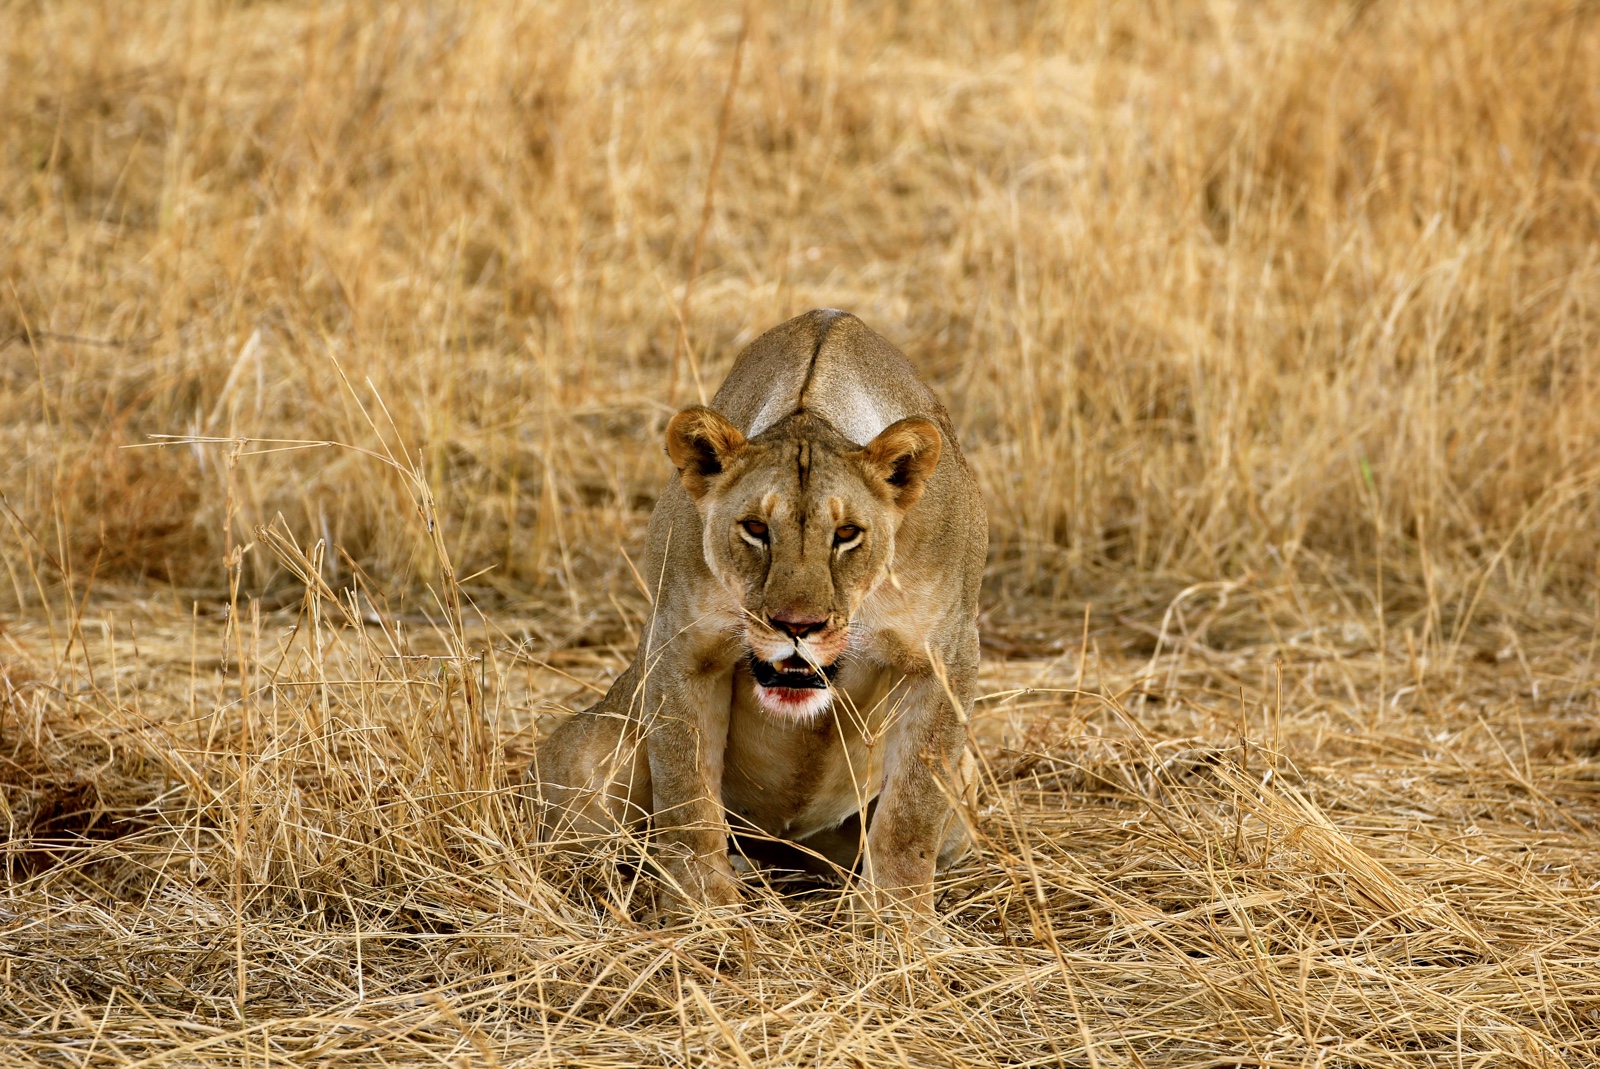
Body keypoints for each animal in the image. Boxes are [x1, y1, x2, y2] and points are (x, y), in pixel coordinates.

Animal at [531, 308, 985, 928]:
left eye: (847, 534)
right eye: (755, 528)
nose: (797, 626)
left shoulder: (946, 656)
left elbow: (912, 811)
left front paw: (895, 924)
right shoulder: (682, 645)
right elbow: (688, 798)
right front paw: (703, 914)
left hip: (961, 808)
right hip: (586, 758)